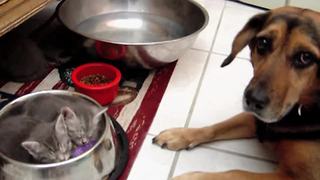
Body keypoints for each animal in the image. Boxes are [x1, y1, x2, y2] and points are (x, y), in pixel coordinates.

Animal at [152, 6, 320, 179]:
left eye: (305, 57)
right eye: (263, 43)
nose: (252, 100)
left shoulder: (298, 176)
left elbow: (235, 172)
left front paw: (192, 177)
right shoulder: (253, 119)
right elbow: (216, 127)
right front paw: (181, 135)